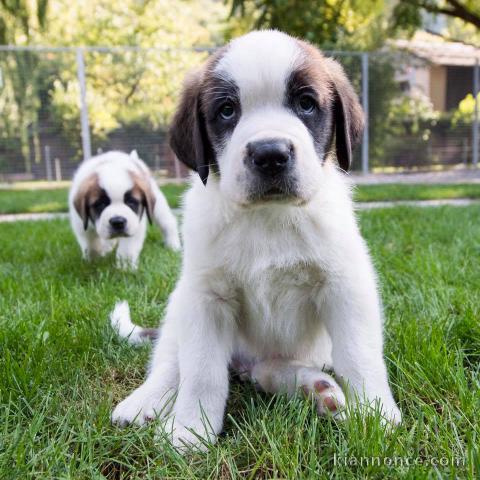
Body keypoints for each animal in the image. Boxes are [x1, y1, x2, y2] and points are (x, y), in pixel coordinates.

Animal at [111, 30, 402, 450]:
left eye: (306, 103)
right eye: (227, 111)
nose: (270, 154)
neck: (268, 218)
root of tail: (243, 365)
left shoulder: (345, 286)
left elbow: (359, 354)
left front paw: (376, 415)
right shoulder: (205, 299)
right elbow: (200, 371)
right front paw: (190, 430)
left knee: (270, 371)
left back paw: (318, 390)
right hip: (179, 307)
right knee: (170, 362)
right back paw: (144, 402)